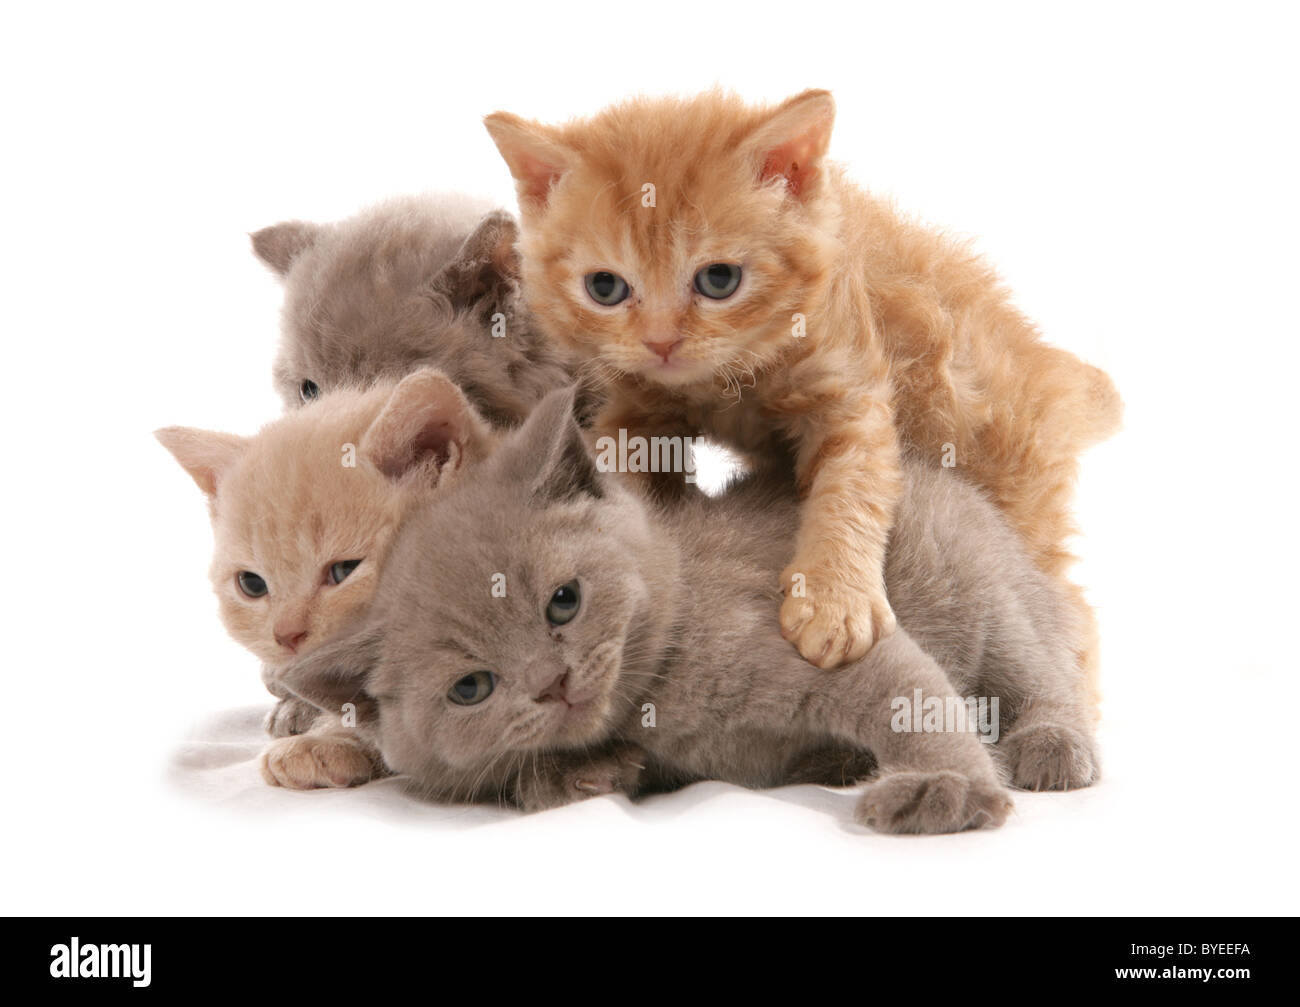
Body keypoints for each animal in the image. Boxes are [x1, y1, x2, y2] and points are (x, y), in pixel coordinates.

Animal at [271, 387, 1097, 836]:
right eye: (471, 687)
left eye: (564, 600)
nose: (552, 682)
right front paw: (577, 774)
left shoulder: (830, 640)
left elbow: (914, 699)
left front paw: (943, 790)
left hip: (983, 590)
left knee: (1040, 673)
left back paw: (1051, 745)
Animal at [483, 90, 1123, 680]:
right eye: (605, 288)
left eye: (719, 279)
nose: (662, 342)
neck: (731, 378)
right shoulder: (634, 406)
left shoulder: (852, 390)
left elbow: (853, 489)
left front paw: (836, 601)